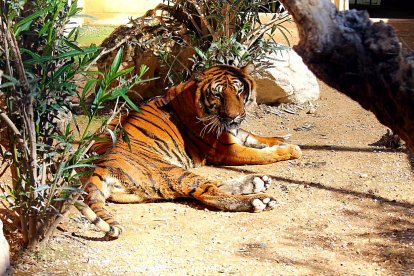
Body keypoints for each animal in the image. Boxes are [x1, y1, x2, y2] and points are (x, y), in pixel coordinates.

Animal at [75, 63, 300, 237]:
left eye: (238, 91)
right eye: (218, 94)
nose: (235, 117)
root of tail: (98, 168)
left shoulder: (235, 133)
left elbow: (255, 137)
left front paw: (280, 139)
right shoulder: (227, 149)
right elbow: (262, 154)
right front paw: (291, 149)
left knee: (212, 185)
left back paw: (257, 182)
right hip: (172, 171)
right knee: (209, 193)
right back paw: (259, 200)